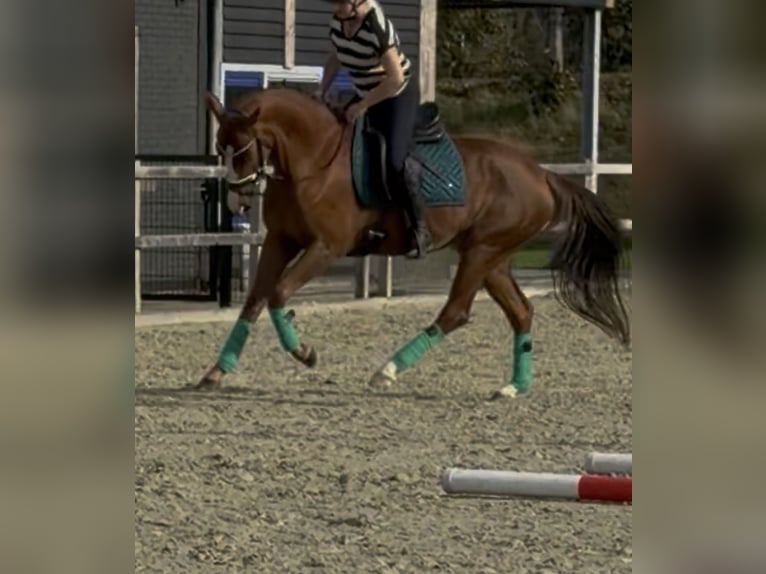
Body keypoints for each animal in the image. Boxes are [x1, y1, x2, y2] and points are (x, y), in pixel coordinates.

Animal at [195, 87, 630, 398]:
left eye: (243, 150)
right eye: (219, 148)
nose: (235, 201)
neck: (313, 161)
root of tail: (541, 174)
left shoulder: (326, 247)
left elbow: (280, 293)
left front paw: (305, 353)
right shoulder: (280, 242)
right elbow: (255, 299)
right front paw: (216, 370)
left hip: (481, 253)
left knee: (455, 312)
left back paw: (387, 370)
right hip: (492, 256)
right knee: (520, 312)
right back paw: (514, 387)